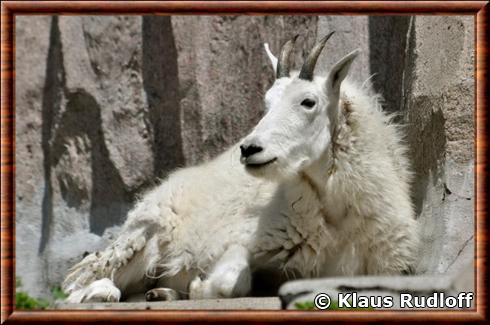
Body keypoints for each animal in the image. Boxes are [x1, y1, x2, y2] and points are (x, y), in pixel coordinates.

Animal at [63, 33, 420, 302]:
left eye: (308, 102)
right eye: (267, 102)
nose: (250, 149)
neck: (334, 215)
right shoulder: (241, 242)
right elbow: (230, 282)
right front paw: (199, 286)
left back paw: (160, 293)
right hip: (141, 240)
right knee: (79, 284)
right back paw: (103, 293)